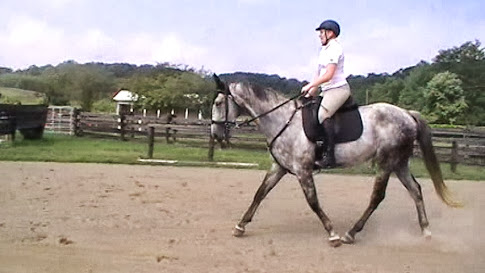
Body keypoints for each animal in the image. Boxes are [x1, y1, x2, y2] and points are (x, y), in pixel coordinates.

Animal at [211, 74, 458, 246]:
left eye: (218, 103)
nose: (215, 134)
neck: (283, 120)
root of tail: (407, 114)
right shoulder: (279, 167)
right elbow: (260, 193)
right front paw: (240, 226)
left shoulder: (303, 170)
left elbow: (313, 202)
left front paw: (332, 234)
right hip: (399, 163)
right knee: (415, 190)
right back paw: (426, 231)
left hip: (386, 163)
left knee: (377, 197)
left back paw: (350, 233)